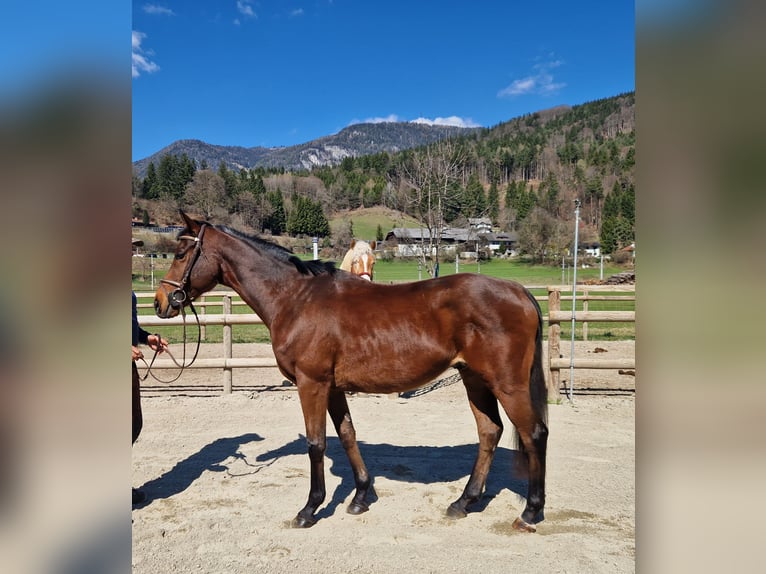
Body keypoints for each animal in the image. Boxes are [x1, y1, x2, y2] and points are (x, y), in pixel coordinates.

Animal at [154, 211, 548, 531]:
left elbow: (316, 443)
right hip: (474, 378)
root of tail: (520, 292)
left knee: (534, 434)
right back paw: (464, 502)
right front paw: (360, 496)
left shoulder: (311, 383)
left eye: (180, 254)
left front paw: (310, 509)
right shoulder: (333, 387)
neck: (295, 298)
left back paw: (530, 511)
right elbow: (347, 435)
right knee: (490, 432)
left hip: (507, 383)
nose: (161, 302)